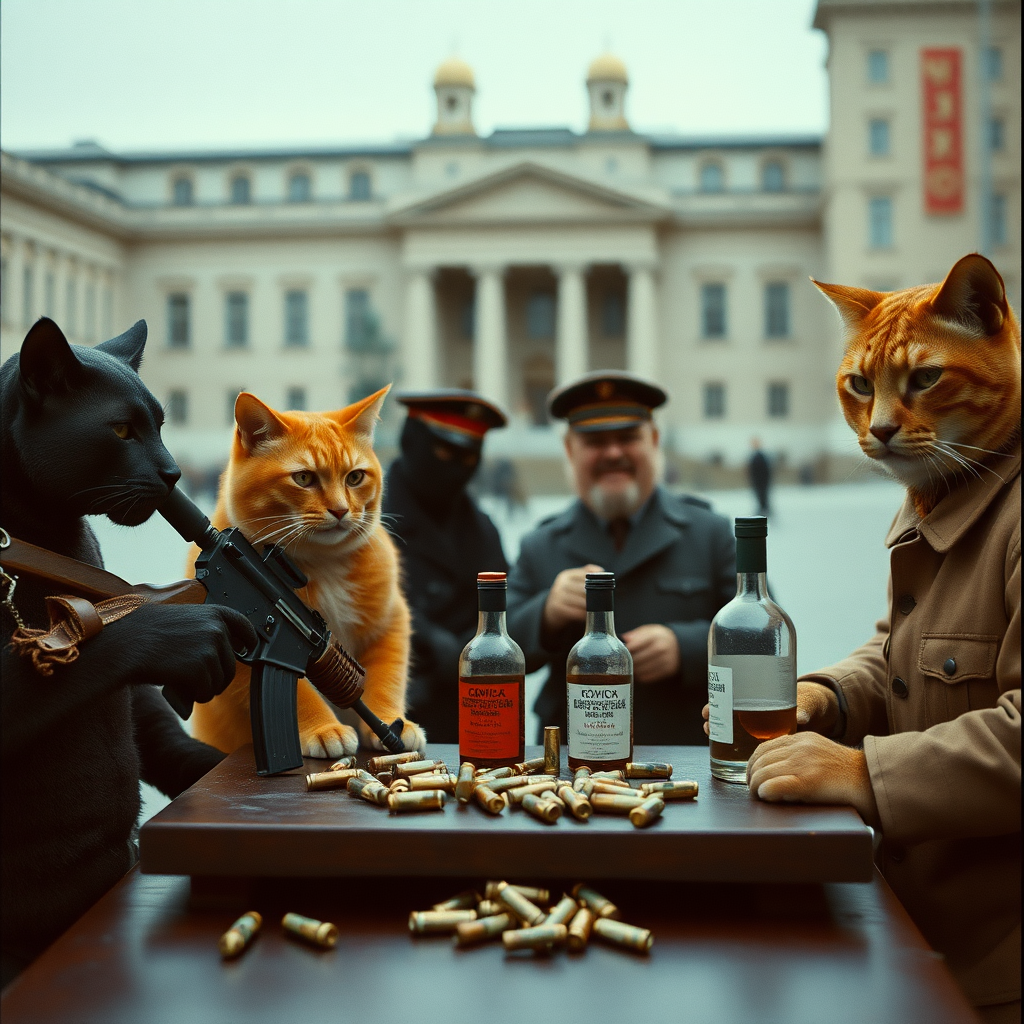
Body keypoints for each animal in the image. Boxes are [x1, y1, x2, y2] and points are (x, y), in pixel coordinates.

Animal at [188, 387, 423, 757]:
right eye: (303, 478)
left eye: (355, 477)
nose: (341, 510)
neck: (322, 563)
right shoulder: (249, 643)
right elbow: (297, 694)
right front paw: (324, 729)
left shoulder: (391, 621)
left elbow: (387, 676)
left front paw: (390, 721)